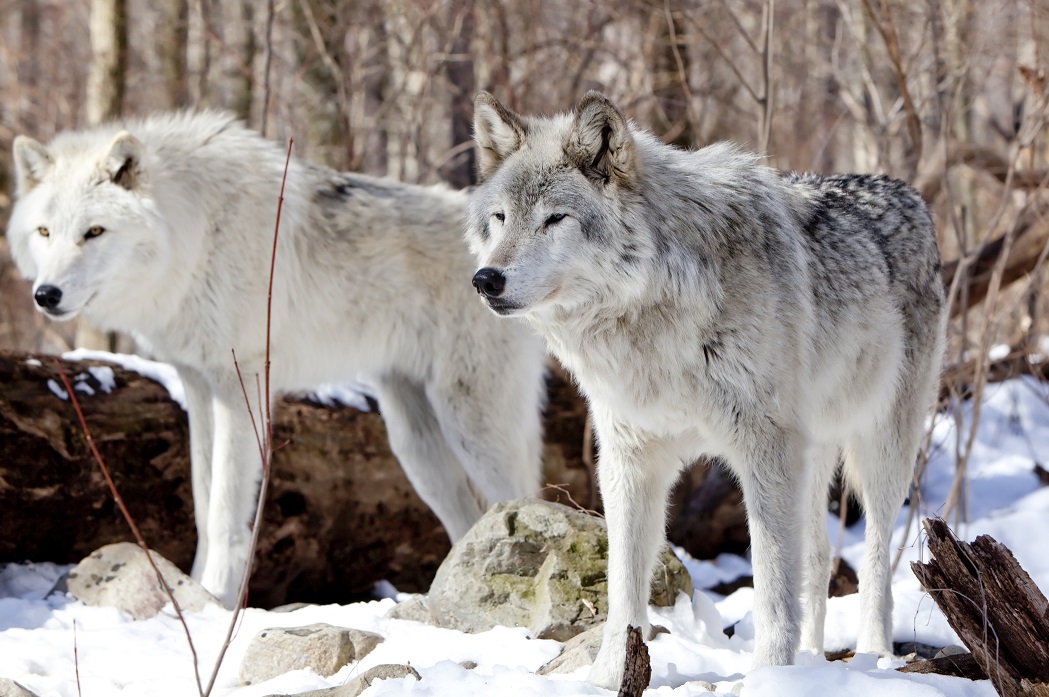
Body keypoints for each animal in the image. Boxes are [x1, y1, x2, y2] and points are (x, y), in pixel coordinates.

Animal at [8, 111, 545, 608]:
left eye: (94, 231)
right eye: (44, 232)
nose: (45, 295)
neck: (196, 231)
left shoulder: (238, 383)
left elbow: (226, 512)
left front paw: (217, 599)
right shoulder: (197, 384)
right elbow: (204, 505)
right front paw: (195, 591)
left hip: (471, 423)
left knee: (525, 499)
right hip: (416, 445)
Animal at [467, 91, 952, 684]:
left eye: (555, 219)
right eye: (500, 218)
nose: (486, 279)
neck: (653, 318)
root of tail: (907, 192)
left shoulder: (766, 450)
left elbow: (770, 588)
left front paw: (771, 678)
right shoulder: (630, 460)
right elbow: (623, 583)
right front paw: (609, 675)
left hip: (882, 448)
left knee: (877, 558)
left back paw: (873, 657)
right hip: (812, 453)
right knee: (817, 560)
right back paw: (815, 663)